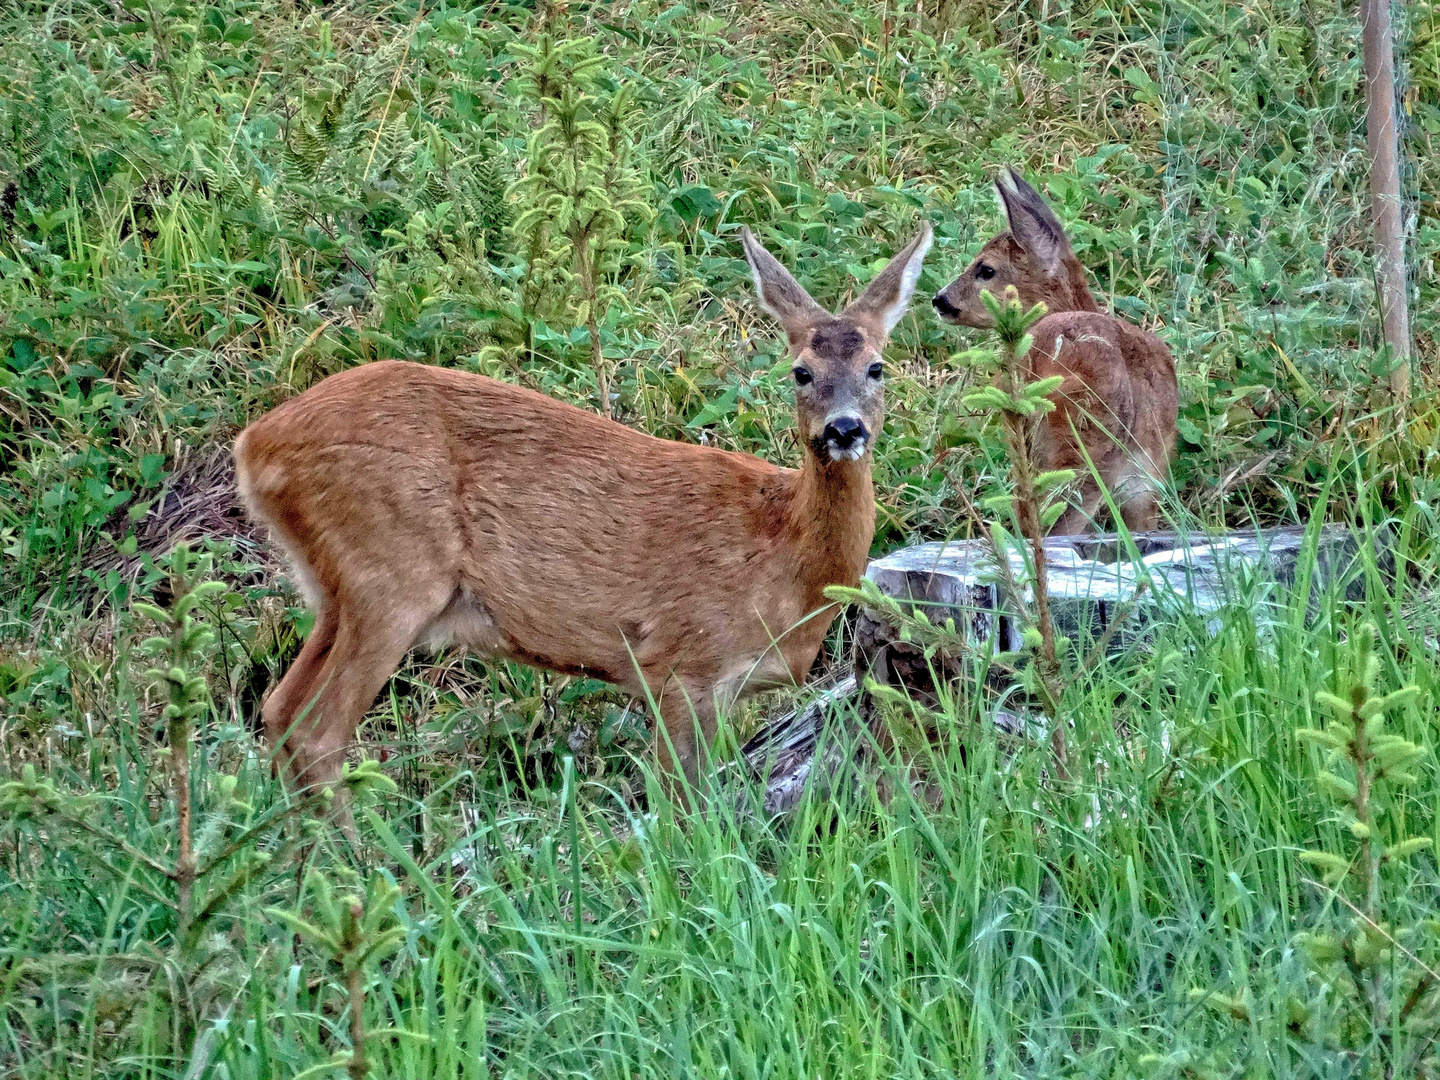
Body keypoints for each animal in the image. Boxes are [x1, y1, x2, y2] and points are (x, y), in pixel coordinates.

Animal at [233, 224, 933, 806]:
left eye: (876, 366)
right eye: (800, 372)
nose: (844, 429)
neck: (788, 560)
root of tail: (254, 445)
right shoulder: (680, 663)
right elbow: (683, 806)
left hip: (336, 590)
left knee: (279, 710)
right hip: (389, 574)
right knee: (317, 731)